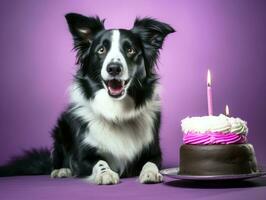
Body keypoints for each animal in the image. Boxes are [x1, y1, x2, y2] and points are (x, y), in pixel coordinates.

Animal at [0, 12, 175, 184]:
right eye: (101, 50)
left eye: (130, 50)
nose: (114, 68)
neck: (116, 112)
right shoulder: (84, 156)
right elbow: (99, 162)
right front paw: (106, 174)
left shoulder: (154, 152)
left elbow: (150, 162)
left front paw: (151, 173)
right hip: (61, 128)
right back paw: (61, 170)